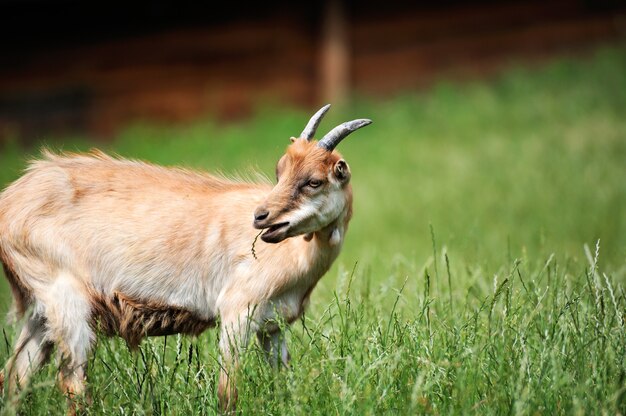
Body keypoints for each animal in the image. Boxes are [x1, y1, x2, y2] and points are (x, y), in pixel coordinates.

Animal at [0, 105, 368, 412]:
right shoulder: (236, 311)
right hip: (67, 299)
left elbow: (284, 380)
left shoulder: (272, 325)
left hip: (40, 307)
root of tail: (10, 199)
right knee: (72, 382)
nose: (261, 217)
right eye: (280, 172)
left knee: (15, 375)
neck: (296, 257)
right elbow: (228, 390)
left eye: (314, 181)